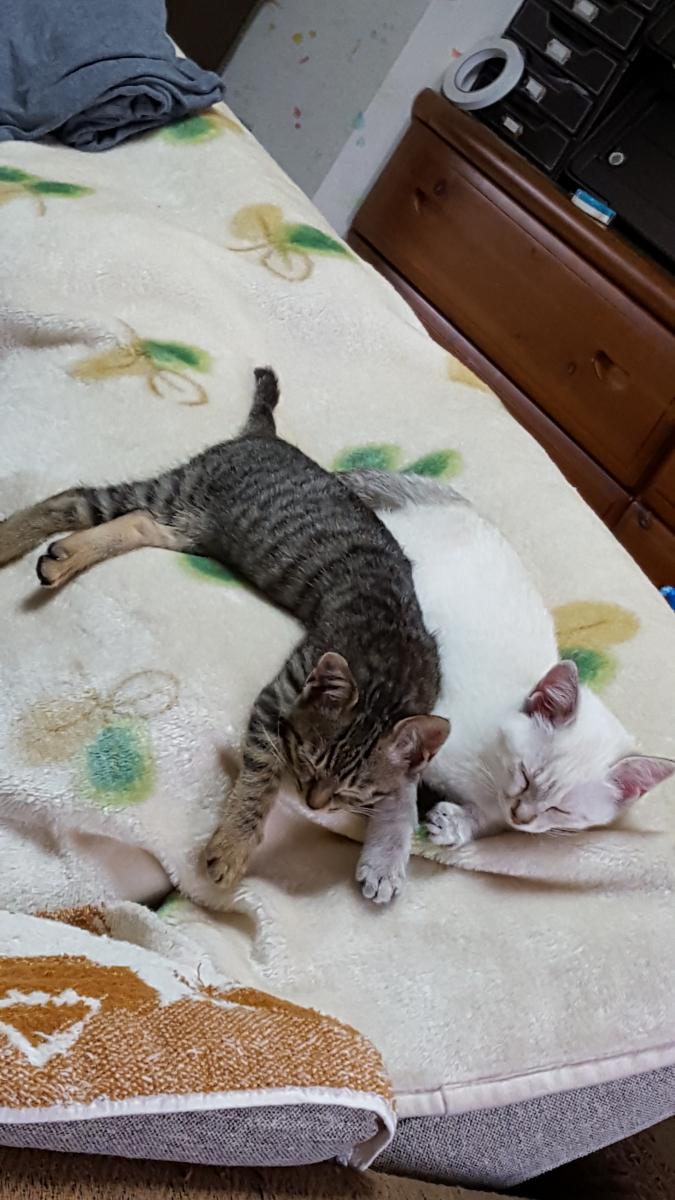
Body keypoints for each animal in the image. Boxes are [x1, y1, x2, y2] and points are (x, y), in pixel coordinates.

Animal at [0, 369, 448, 906]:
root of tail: (264, 436)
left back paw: (64, 557)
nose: (315, 803)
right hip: (177, 490)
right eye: (309, 757)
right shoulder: (280, 695)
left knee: (136, 522)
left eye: (353, 789)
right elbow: (262, 774)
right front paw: (233, 846)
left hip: (189, 527)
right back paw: (8, 540)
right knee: (77, 497)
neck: (393, 661)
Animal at [343, 470, 675, 845]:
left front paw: (454, 825)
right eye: (525, 774)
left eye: (561, 810)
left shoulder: (499, 817)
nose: (522, 816)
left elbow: (486, 822)